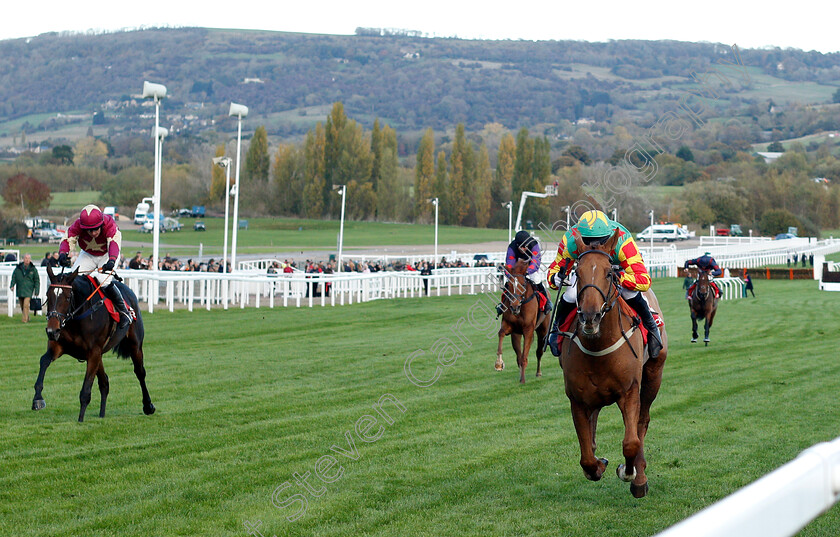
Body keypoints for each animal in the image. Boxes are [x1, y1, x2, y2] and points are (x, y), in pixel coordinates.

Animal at [31, 266, 156, 420]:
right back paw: (102, 415)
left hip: (135, 345)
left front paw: (80, 420)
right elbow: (43, 361)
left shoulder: (93, 352)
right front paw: (37, 399)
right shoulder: (59, 347)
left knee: (140, 372)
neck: (77, 318)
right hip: (100, 355)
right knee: (104, 382)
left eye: (67, 297)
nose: (51, 330)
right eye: (48, 296)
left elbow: (85, 391)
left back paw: (148, 406)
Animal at [556, 230, 668, 498]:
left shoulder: (629, 392)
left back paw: (640, 476)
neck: (598, 349)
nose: (590, 316)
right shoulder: (577, 398)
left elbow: (631, 442)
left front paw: (629, 473)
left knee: (642, 423)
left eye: (609, 272)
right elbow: (586, 455)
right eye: (577, 272)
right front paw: (598, 465)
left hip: (653, 375)